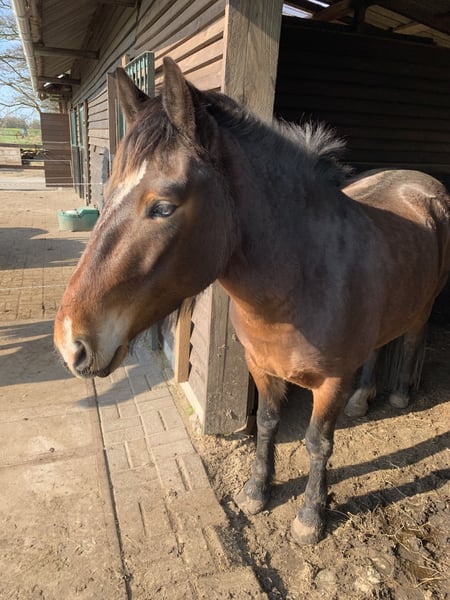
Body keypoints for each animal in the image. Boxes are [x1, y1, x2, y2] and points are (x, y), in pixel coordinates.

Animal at [54, 58, 450, 545]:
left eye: (163, 207)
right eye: (107, 193)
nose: (70, 342)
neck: (302, 282)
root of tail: (422, 183)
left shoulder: (331, 382)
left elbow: (318, 442)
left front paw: (310, 516)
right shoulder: (260, 366)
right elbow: (266, 423)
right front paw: (258, 491)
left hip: (424, 306)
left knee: (413, 337)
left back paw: (399, 393)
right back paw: (364, 399)